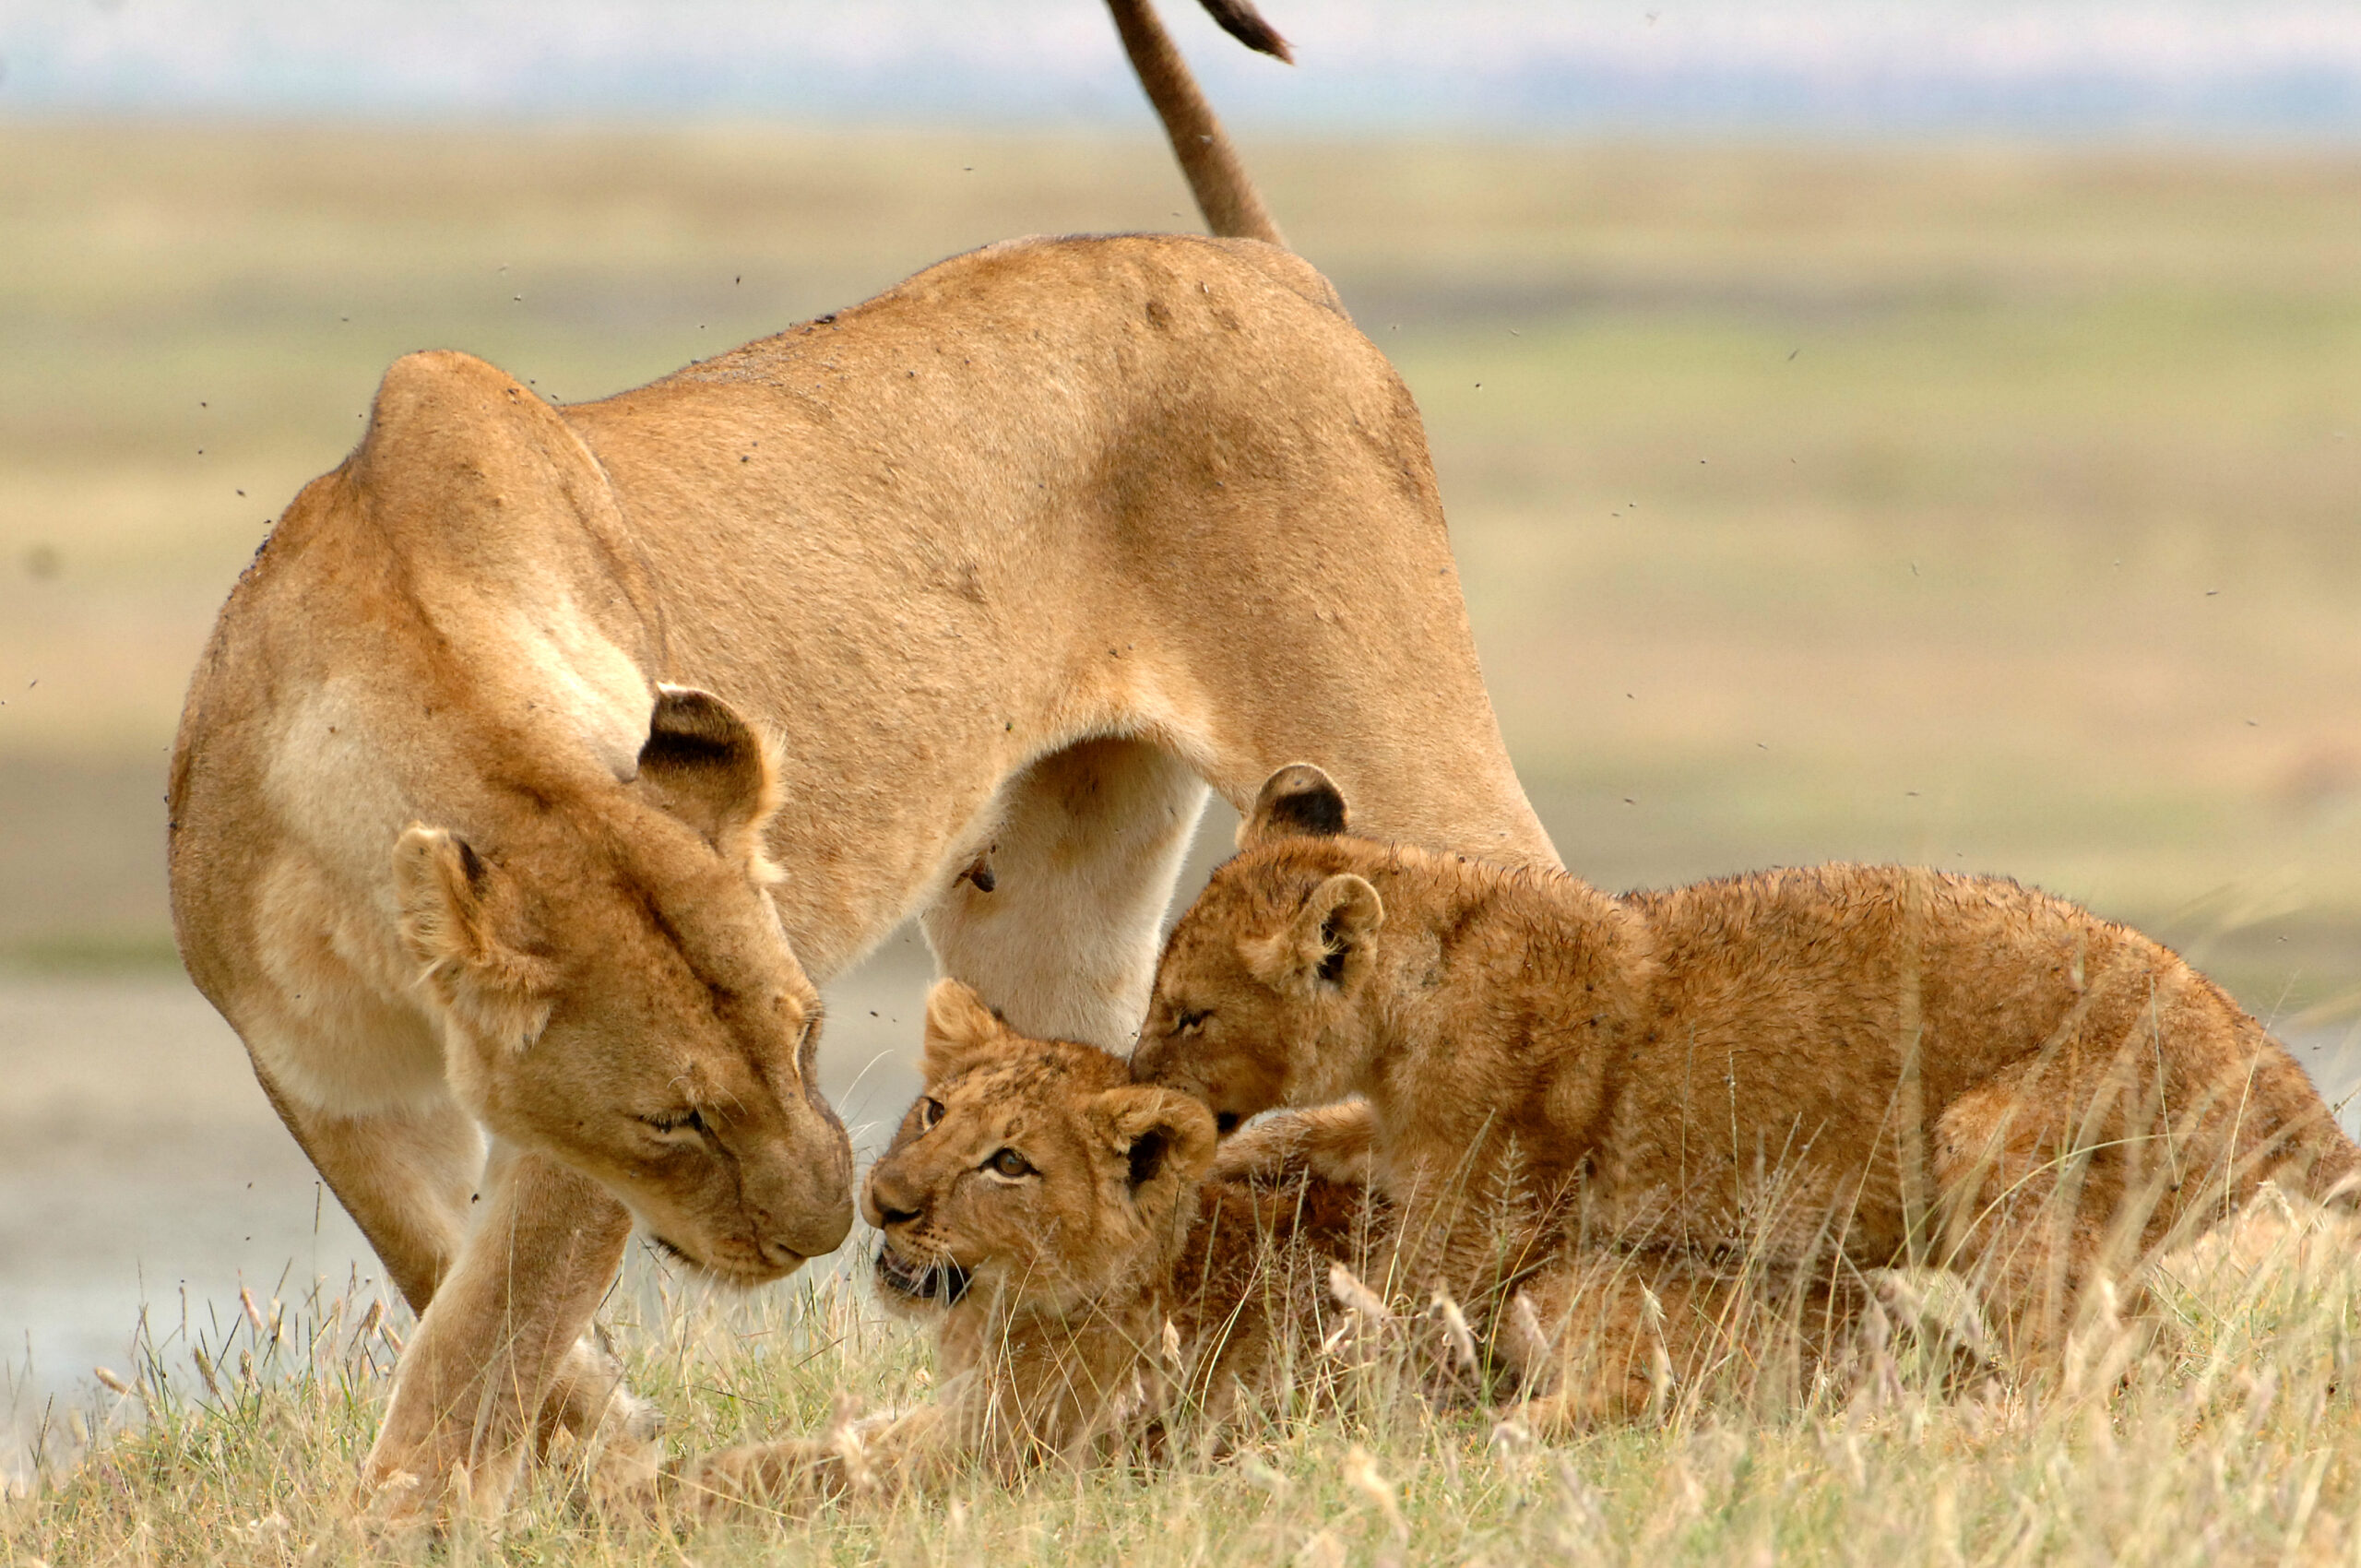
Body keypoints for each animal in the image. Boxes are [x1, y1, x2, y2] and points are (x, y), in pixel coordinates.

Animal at [174, 0, 1558, 1520]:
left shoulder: (555, 1154)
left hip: (1395, 743)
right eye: (675, 1118)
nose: (831, 1226)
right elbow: (442, 1279)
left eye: (807, 1033)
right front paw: (592, 1442)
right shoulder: (329, 1084)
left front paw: (417, 1501)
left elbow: (491, 1322)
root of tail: (1270, 269)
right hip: (1045, 900)